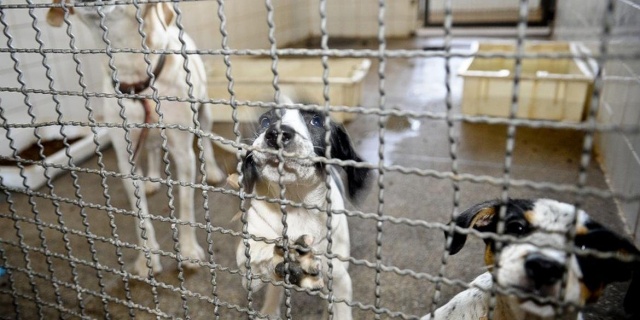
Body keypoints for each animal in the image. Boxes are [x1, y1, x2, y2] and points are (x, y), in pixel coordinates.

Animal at [47, 0, 225, 276]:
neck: (134, 76)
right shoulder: (126, 158)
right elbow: (141, 217)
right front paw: (147, 258)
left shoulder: (183, 153)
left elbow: (185, 209)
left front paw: (188, 252)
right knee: (152, 150)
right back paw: (151, 178)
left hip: (204, 110)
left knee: (205, 142)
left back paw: (214, 172)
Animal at [235, 103, 370, 320]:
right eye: (265, 121)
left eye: (316, 121)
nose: (275, 133)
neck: (296, 203)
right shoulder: (247, 264)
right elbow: (261, 254)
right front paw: (288, 256)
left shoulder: (340, 278)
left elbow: (340, 308)